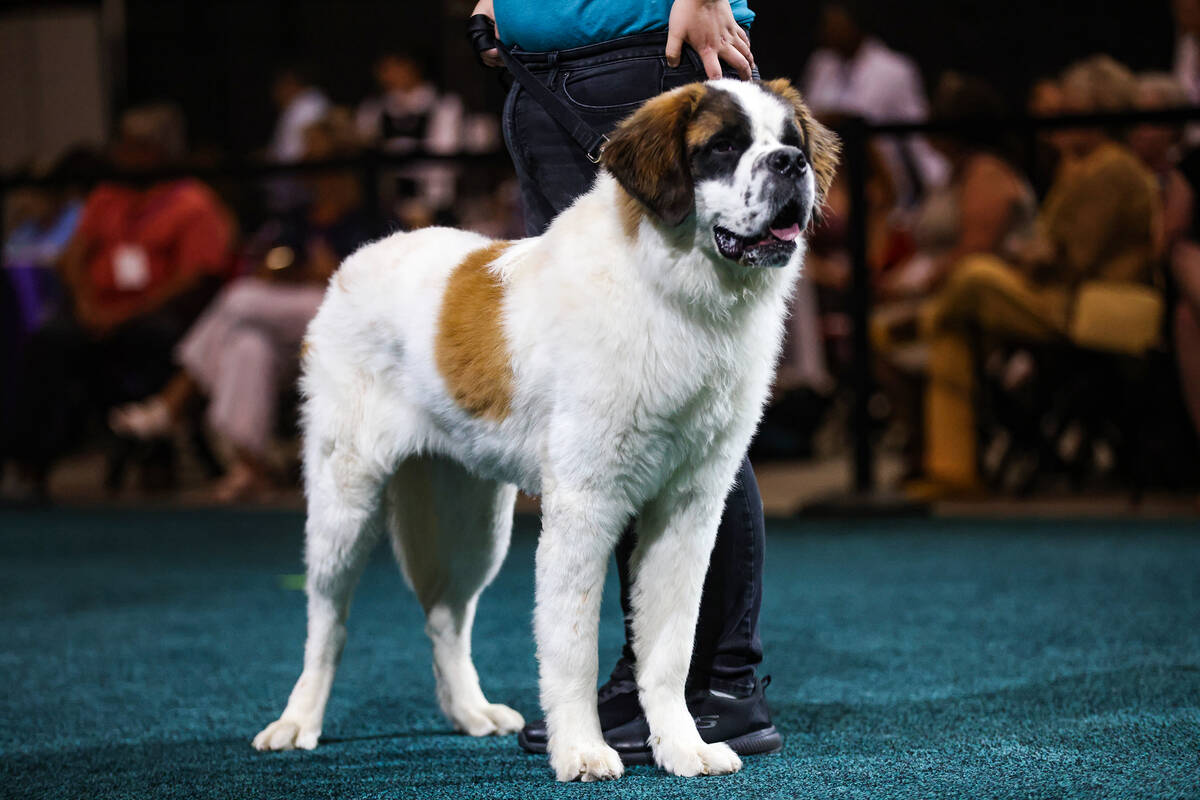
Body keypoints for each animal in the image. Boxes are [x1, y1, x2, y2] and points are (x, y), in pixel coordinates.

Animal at [250, 76, 835, 782]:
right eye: (723, 147)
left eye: (790, 141)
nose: (791, 164)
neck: (671, 291)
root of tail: (355, 261)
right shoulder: (585, 506)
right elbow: (574, 644)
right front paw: (582, 750)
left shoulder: (691, 506)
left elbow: (669, 646)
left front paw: (681, 746)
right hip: (345, 500)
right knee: (327, 619)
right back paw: (297, 720)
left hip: (475, 519)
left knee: (447, 615)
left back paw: (471, 712)